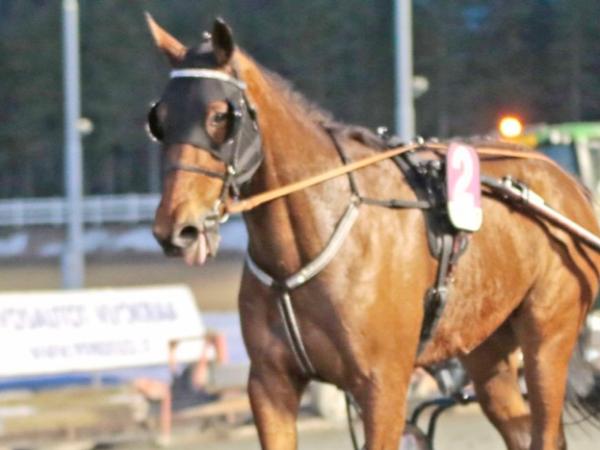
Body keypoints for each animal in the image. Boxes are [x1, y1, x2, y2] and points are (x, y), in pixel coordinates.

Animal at [146, 15, 600, 450]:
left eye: (219, 115)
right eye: (159, 121)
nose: (176, 228)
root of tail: (568, 182)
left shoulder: (383, 383)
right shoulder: (270, 383)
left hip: (548, 336)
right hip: (486, 343)